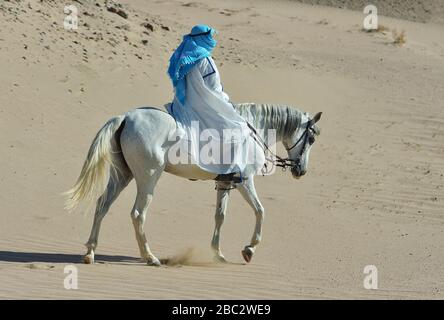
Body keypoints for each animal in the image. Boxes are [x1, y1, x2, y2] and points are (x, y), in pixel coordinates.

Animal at [65, 102, 322, 264]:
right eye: (310, 138)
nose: (301, 170)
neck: (251, 130)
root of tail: (126, 118)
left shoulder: (225, 184)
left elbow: (220, 216)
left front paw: (217, 253)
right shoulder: (245, 181)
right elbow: (260, 211)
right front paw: (249, 249)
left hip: (122, 175)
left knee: (102, 205)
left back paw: (90, 253)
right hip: (148, 178)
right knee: (138, 214)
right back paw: (150, 257)